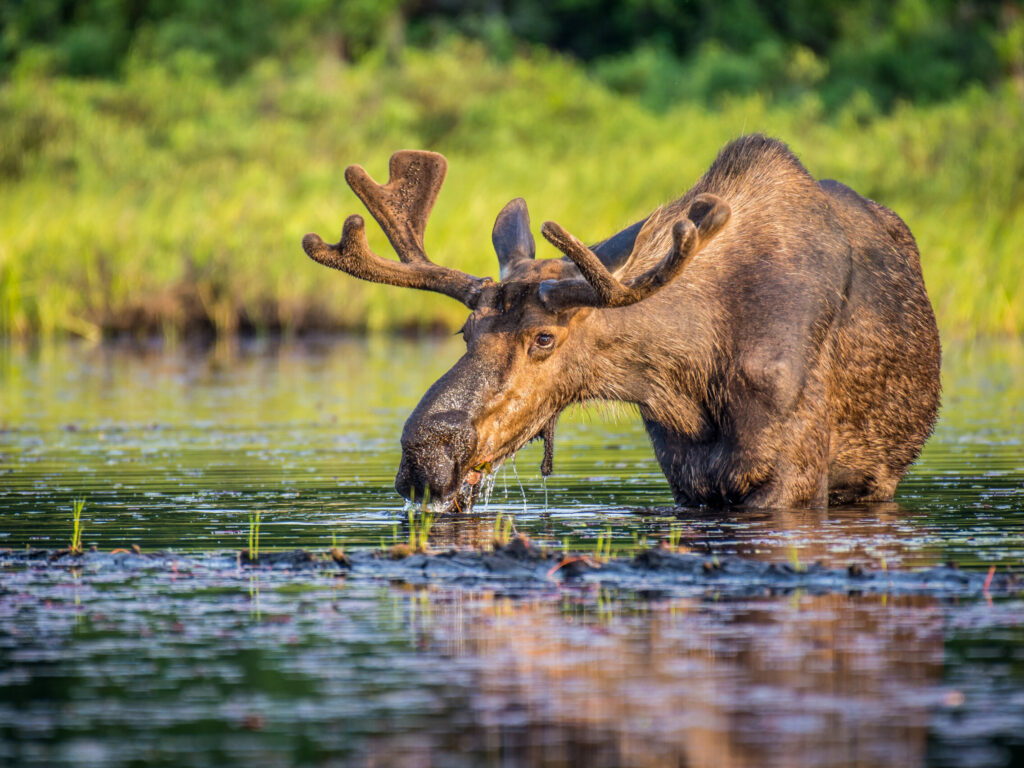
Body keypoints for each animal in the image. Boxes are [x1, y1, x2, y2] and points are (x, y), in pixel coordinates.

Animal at [299, 136, 937, 514]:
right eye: (465, 333)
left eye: (544, 338)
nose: (425, 454)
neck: (693, 377)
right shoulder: (686, 476)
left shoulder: (793, 477)